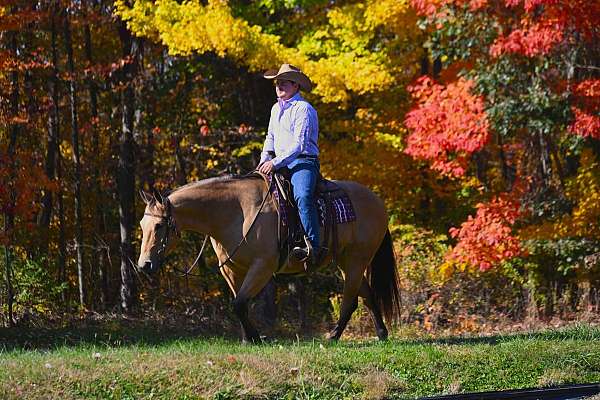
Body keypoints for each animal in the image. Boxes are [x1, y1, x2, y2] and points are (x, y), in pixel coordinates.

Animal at [138, 173, 400, 342]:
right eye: (142, 225)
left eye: (159, 226)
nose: (144, 265)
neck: (235, 212)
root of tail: (377, 202)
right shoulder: (231, 269)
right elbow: (240, 303)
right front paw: (248, 338)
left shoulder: (263, 267)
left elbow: (239, 303)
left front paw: (254, 337)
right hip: (346, 261)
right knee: (367, 295)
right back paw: (381, 334)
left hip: (356, 260)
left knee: (351, 300)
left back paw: (333, 336)